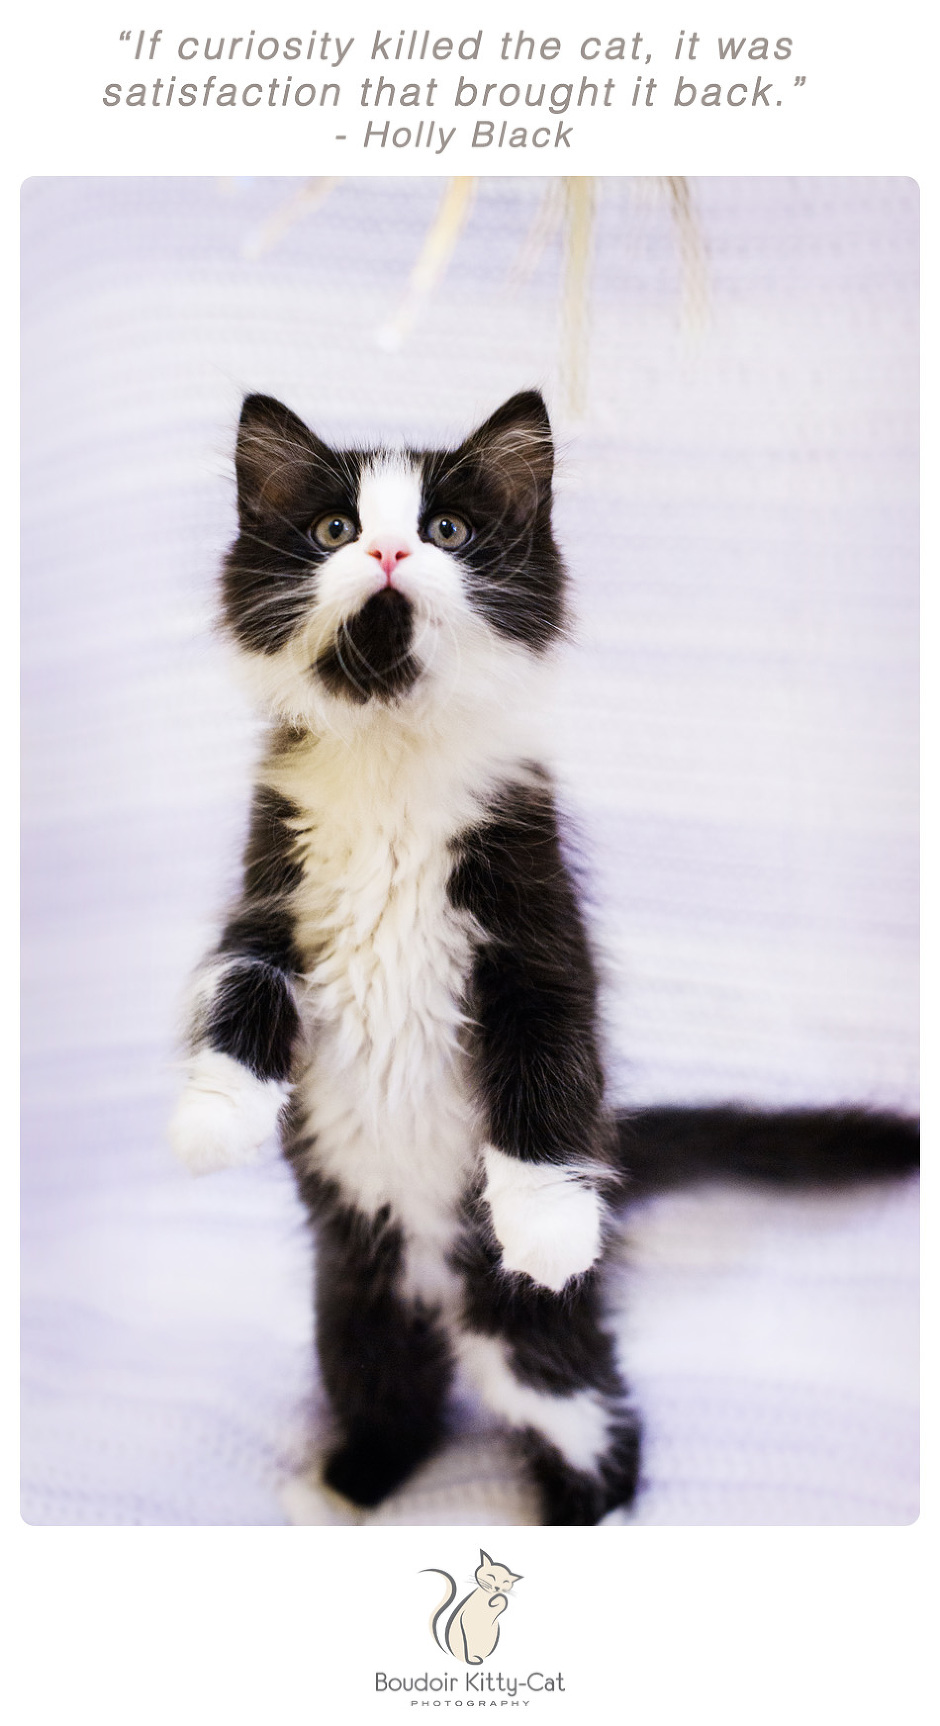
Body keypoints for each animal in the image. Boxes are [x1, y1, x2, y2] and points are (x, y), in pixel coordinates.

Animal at [169, 388, 917, 1525]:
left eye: (446, 530)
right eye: (334, 530)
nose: (387, 549)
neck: (392, 765)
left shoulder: (538, 925)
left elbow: (547, 1057)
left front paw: (550, 1221)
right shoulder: (271, 887)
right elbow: (237, 979)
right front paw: (213, 1118)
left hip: (532, 1340)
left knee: (603, 1424)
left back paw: (576, 1503)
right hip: (354, 1308)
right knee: (398, 1400)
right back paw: (346, 1487)